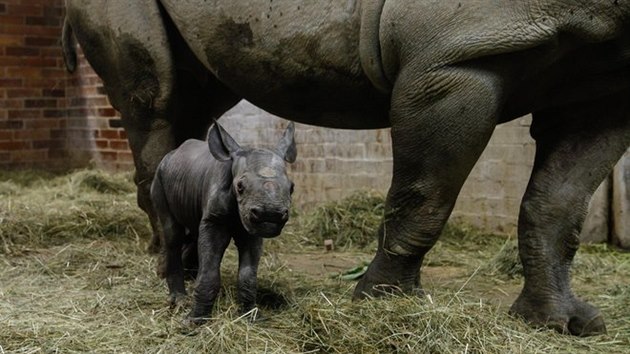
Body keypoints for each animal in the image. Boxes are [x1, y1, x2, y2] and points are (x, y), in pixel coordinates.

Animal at [152, 121, 298, 324]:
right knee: (173, 234)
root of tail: (171, 154)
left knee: (192, 233)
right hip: (159, 176)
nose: (271, 214)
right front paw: (193, 321)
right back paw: (179, 301)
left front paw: (252, 316)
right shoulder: (215, 219)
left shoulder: (252, 226)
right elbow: (210, 270)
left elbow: (248, 274)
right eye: (240, 187)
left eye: (292, 188)